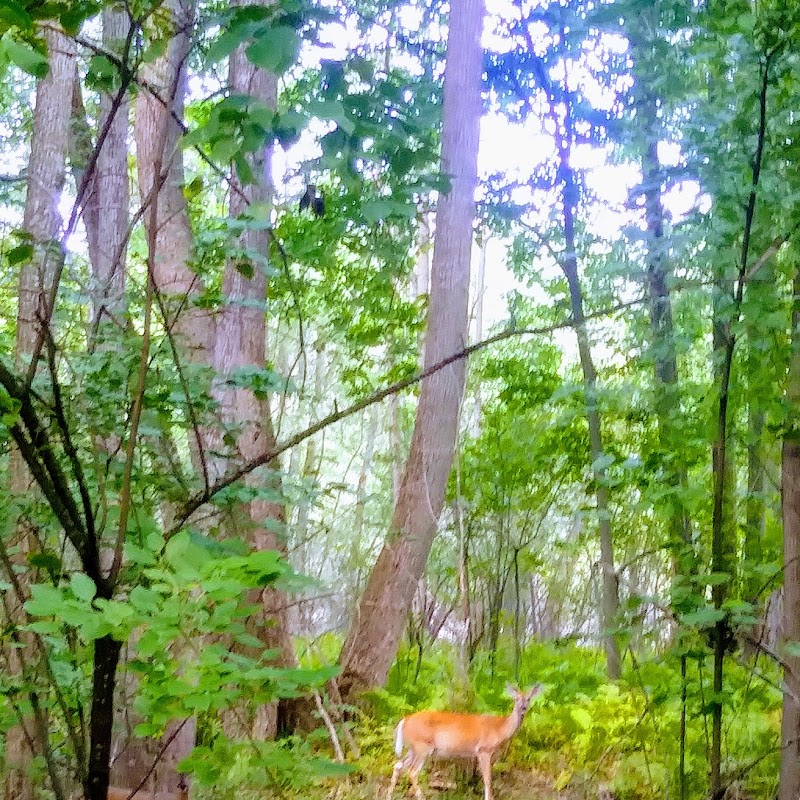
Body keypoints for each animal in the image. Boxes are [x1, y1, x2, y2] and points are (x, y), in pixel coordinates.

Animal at [386, 680, 540, 800]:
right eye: (516, 699)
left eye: (528, 699)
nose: (523, 708)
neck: (500, 729)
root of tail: (404, 721)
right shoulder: (483, 750)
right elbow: (487, 779)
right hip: (422, 746)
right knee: (412, 772)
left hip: (413, 749)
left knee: (398, 765)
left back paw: (389, 796)